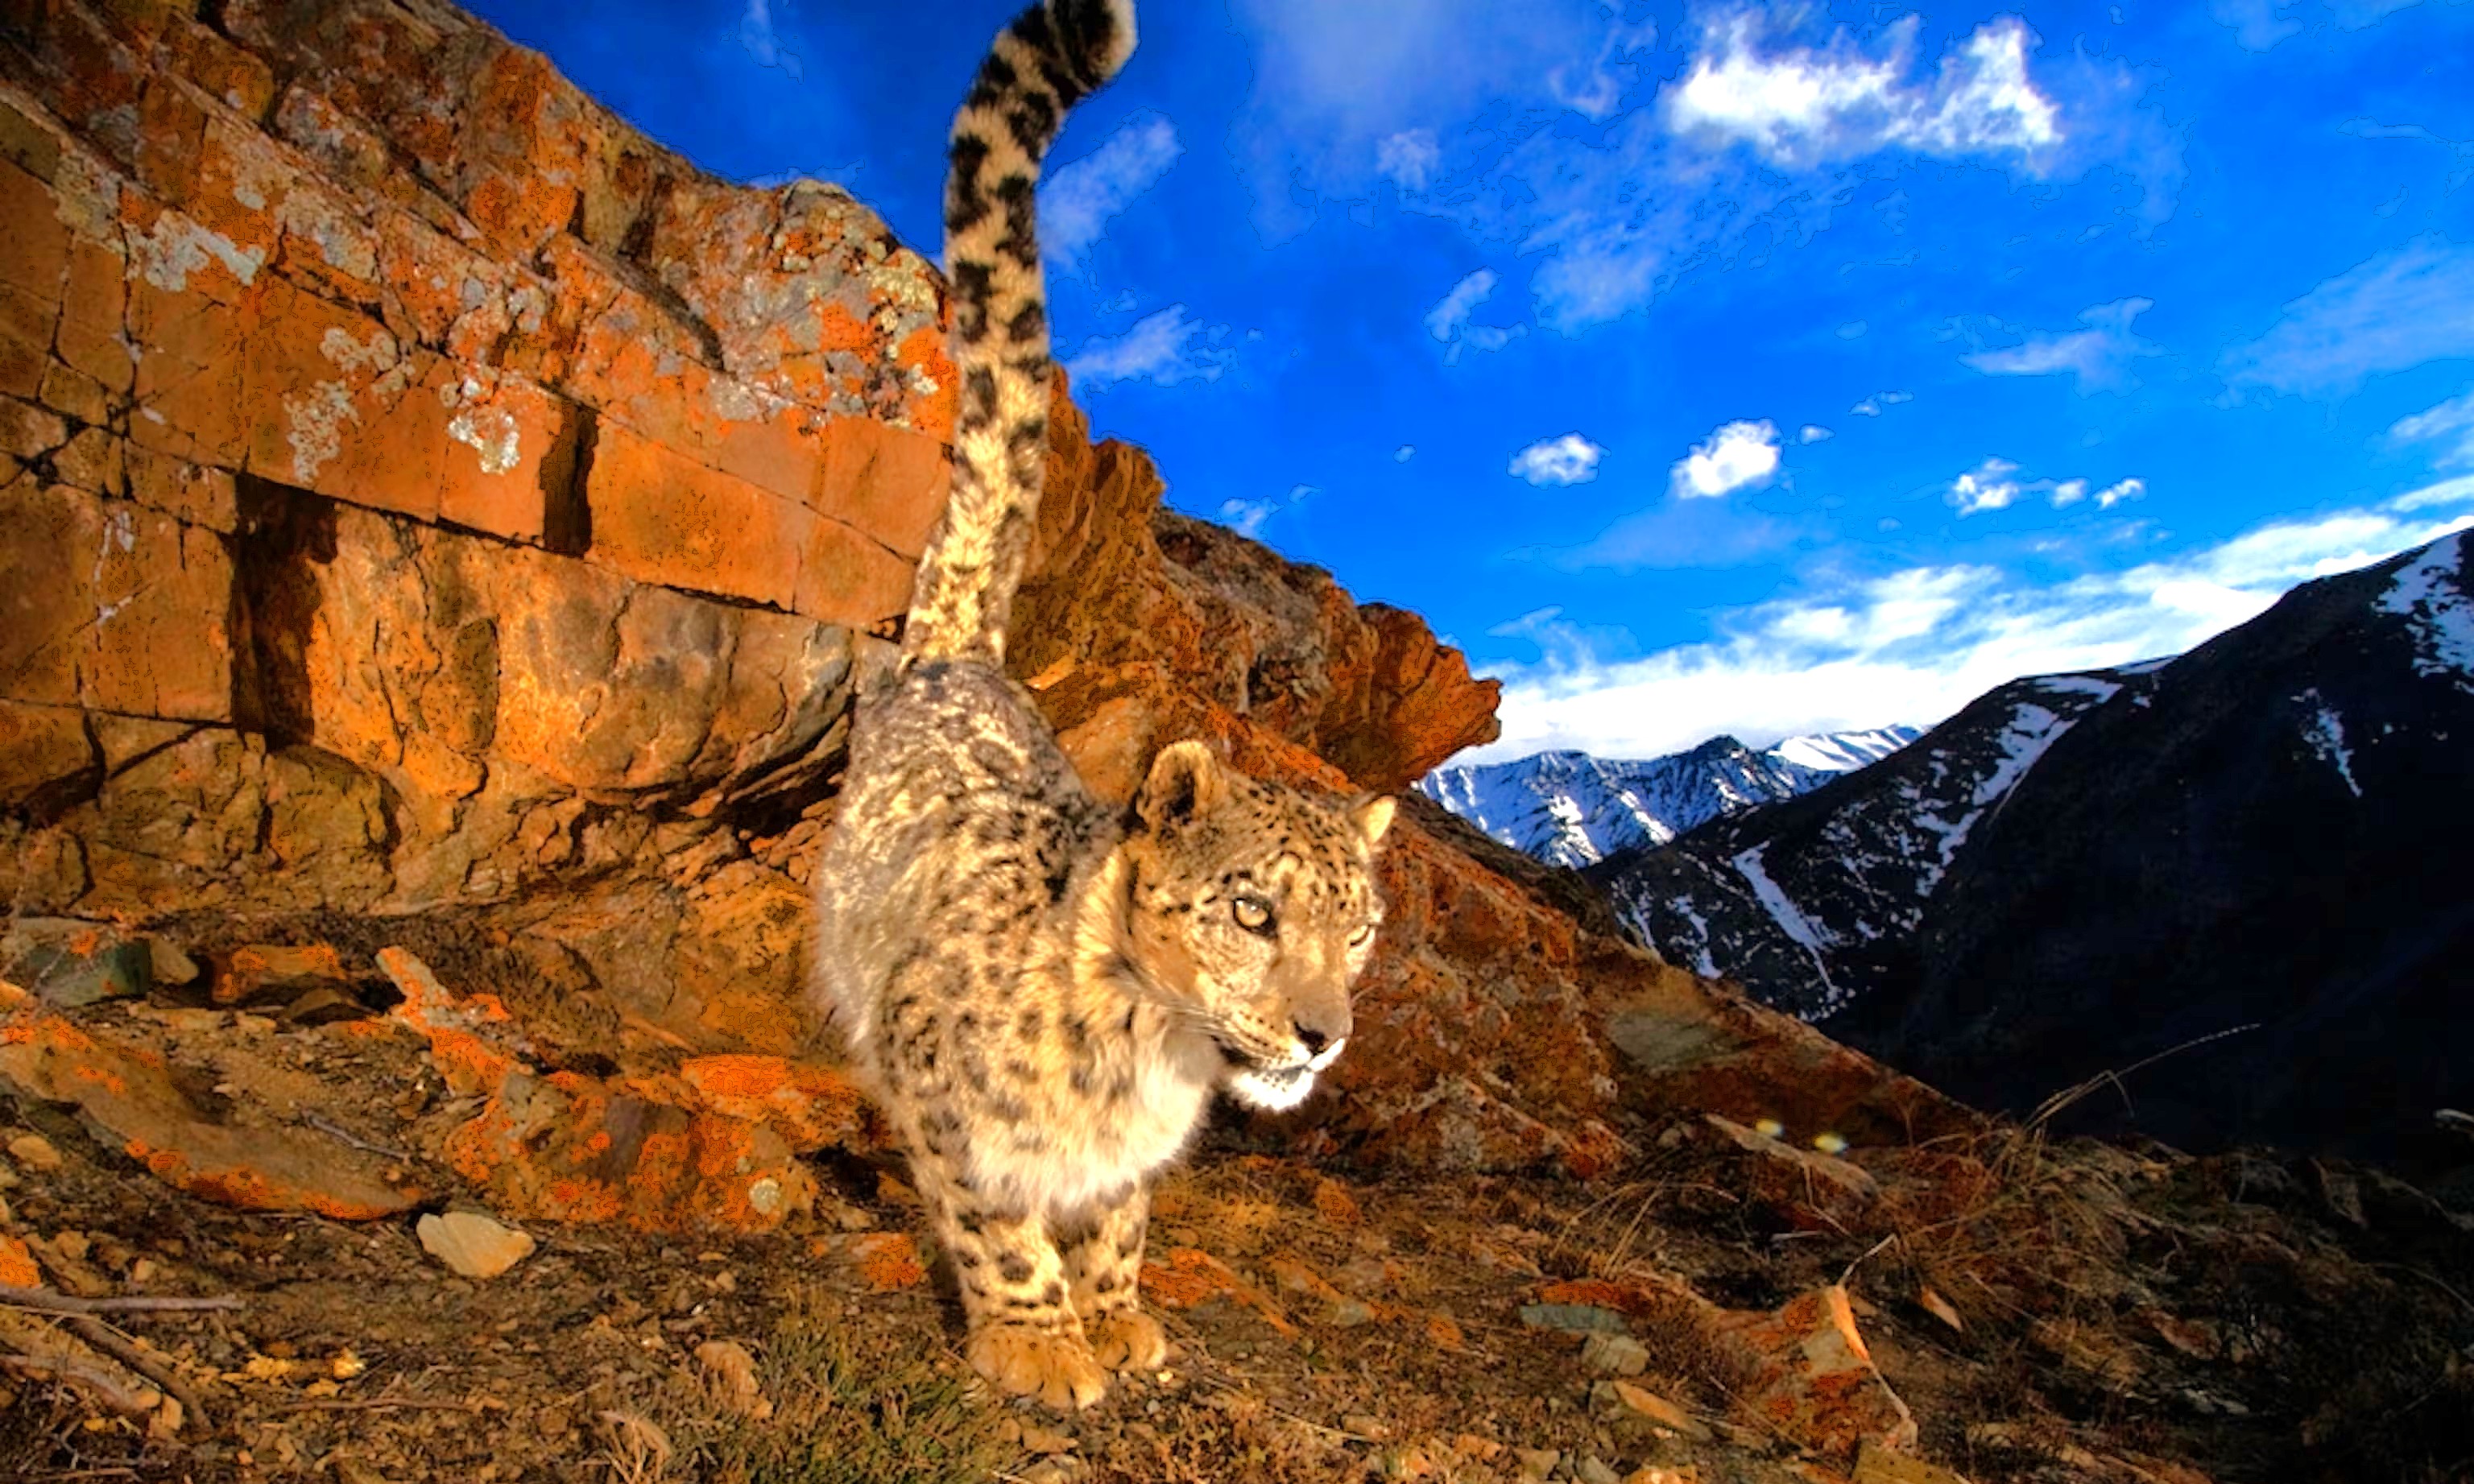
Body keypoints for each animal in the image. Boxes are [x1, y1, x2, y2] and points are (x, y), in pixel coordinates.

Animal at [808, 0, 1396, 1413]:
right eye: (1254, 910)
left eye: (1359, 930)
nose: (1321, 1037)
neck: (1155, 1058)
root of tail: (959, 660)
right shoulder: (936, 1073)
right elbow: (994, 1211)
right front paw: (1039, 1338)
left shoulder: (1135, 1155)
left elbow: (1119, 1208)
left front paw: (1119, 1314)